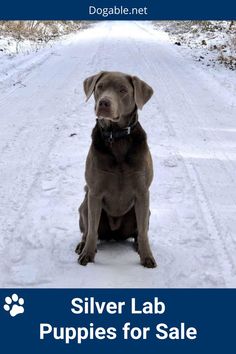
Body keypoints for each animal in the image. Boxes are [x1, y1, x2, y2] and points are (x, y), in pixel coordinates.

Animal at [75, 70, 157, 266]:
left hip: (145, 211)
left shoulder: (142, 192)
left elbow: (143, 232)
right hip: (84, 204)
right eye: (100, 87)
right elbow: (92, 231)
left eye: (123, 90)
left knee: (139, 231)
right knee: (88, 230)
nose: (104, 103)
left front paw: (147, 257)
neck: (117, 138)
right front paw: (87, 255)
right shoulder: (95, 192)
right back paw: (82, 246)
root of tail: (115, 235)